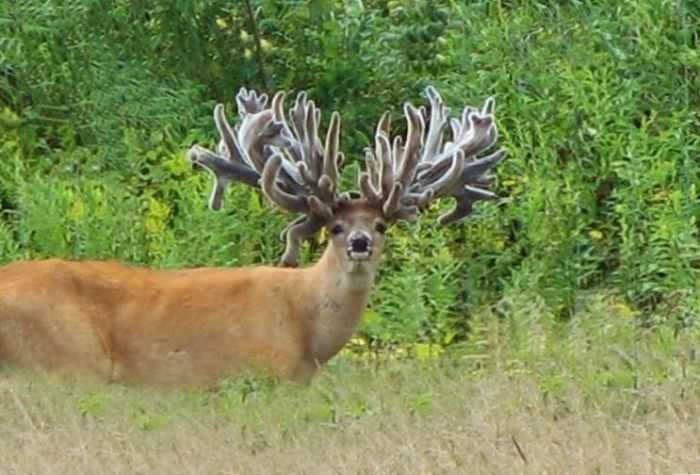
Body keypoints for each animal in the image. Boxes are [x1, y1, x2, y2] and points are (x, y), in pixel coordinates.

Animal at [0, 86, 506, 386]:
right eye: (336, 226)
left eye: (381, 225)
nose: (360, 244)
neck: (307, 328)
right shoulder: (258, 375)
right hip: (69, 360)